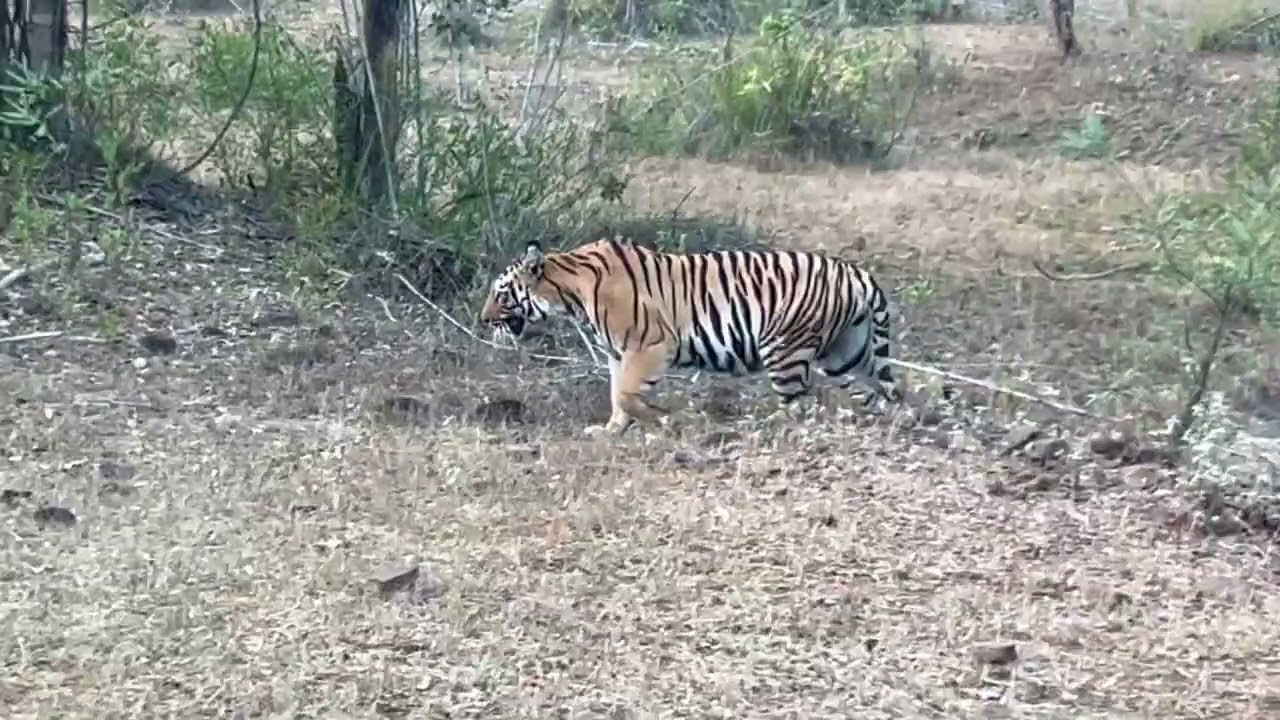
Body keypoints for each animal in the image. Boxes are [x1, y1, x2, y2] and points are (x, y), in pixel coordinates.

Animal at [478, 237, 904, 436]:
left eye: (501, 293)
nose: (482, 320)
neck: (569, 289)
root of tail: (858, 274)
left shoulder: (649, 345)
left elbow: (627, 394)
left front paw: (667, 420)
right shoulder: (618, 354)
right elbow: (617, 395)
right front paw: (612, 430)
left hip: (785, 350)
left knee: (800, 406)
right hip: (846, 355)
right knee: (881, 394)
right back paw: (898, 420)